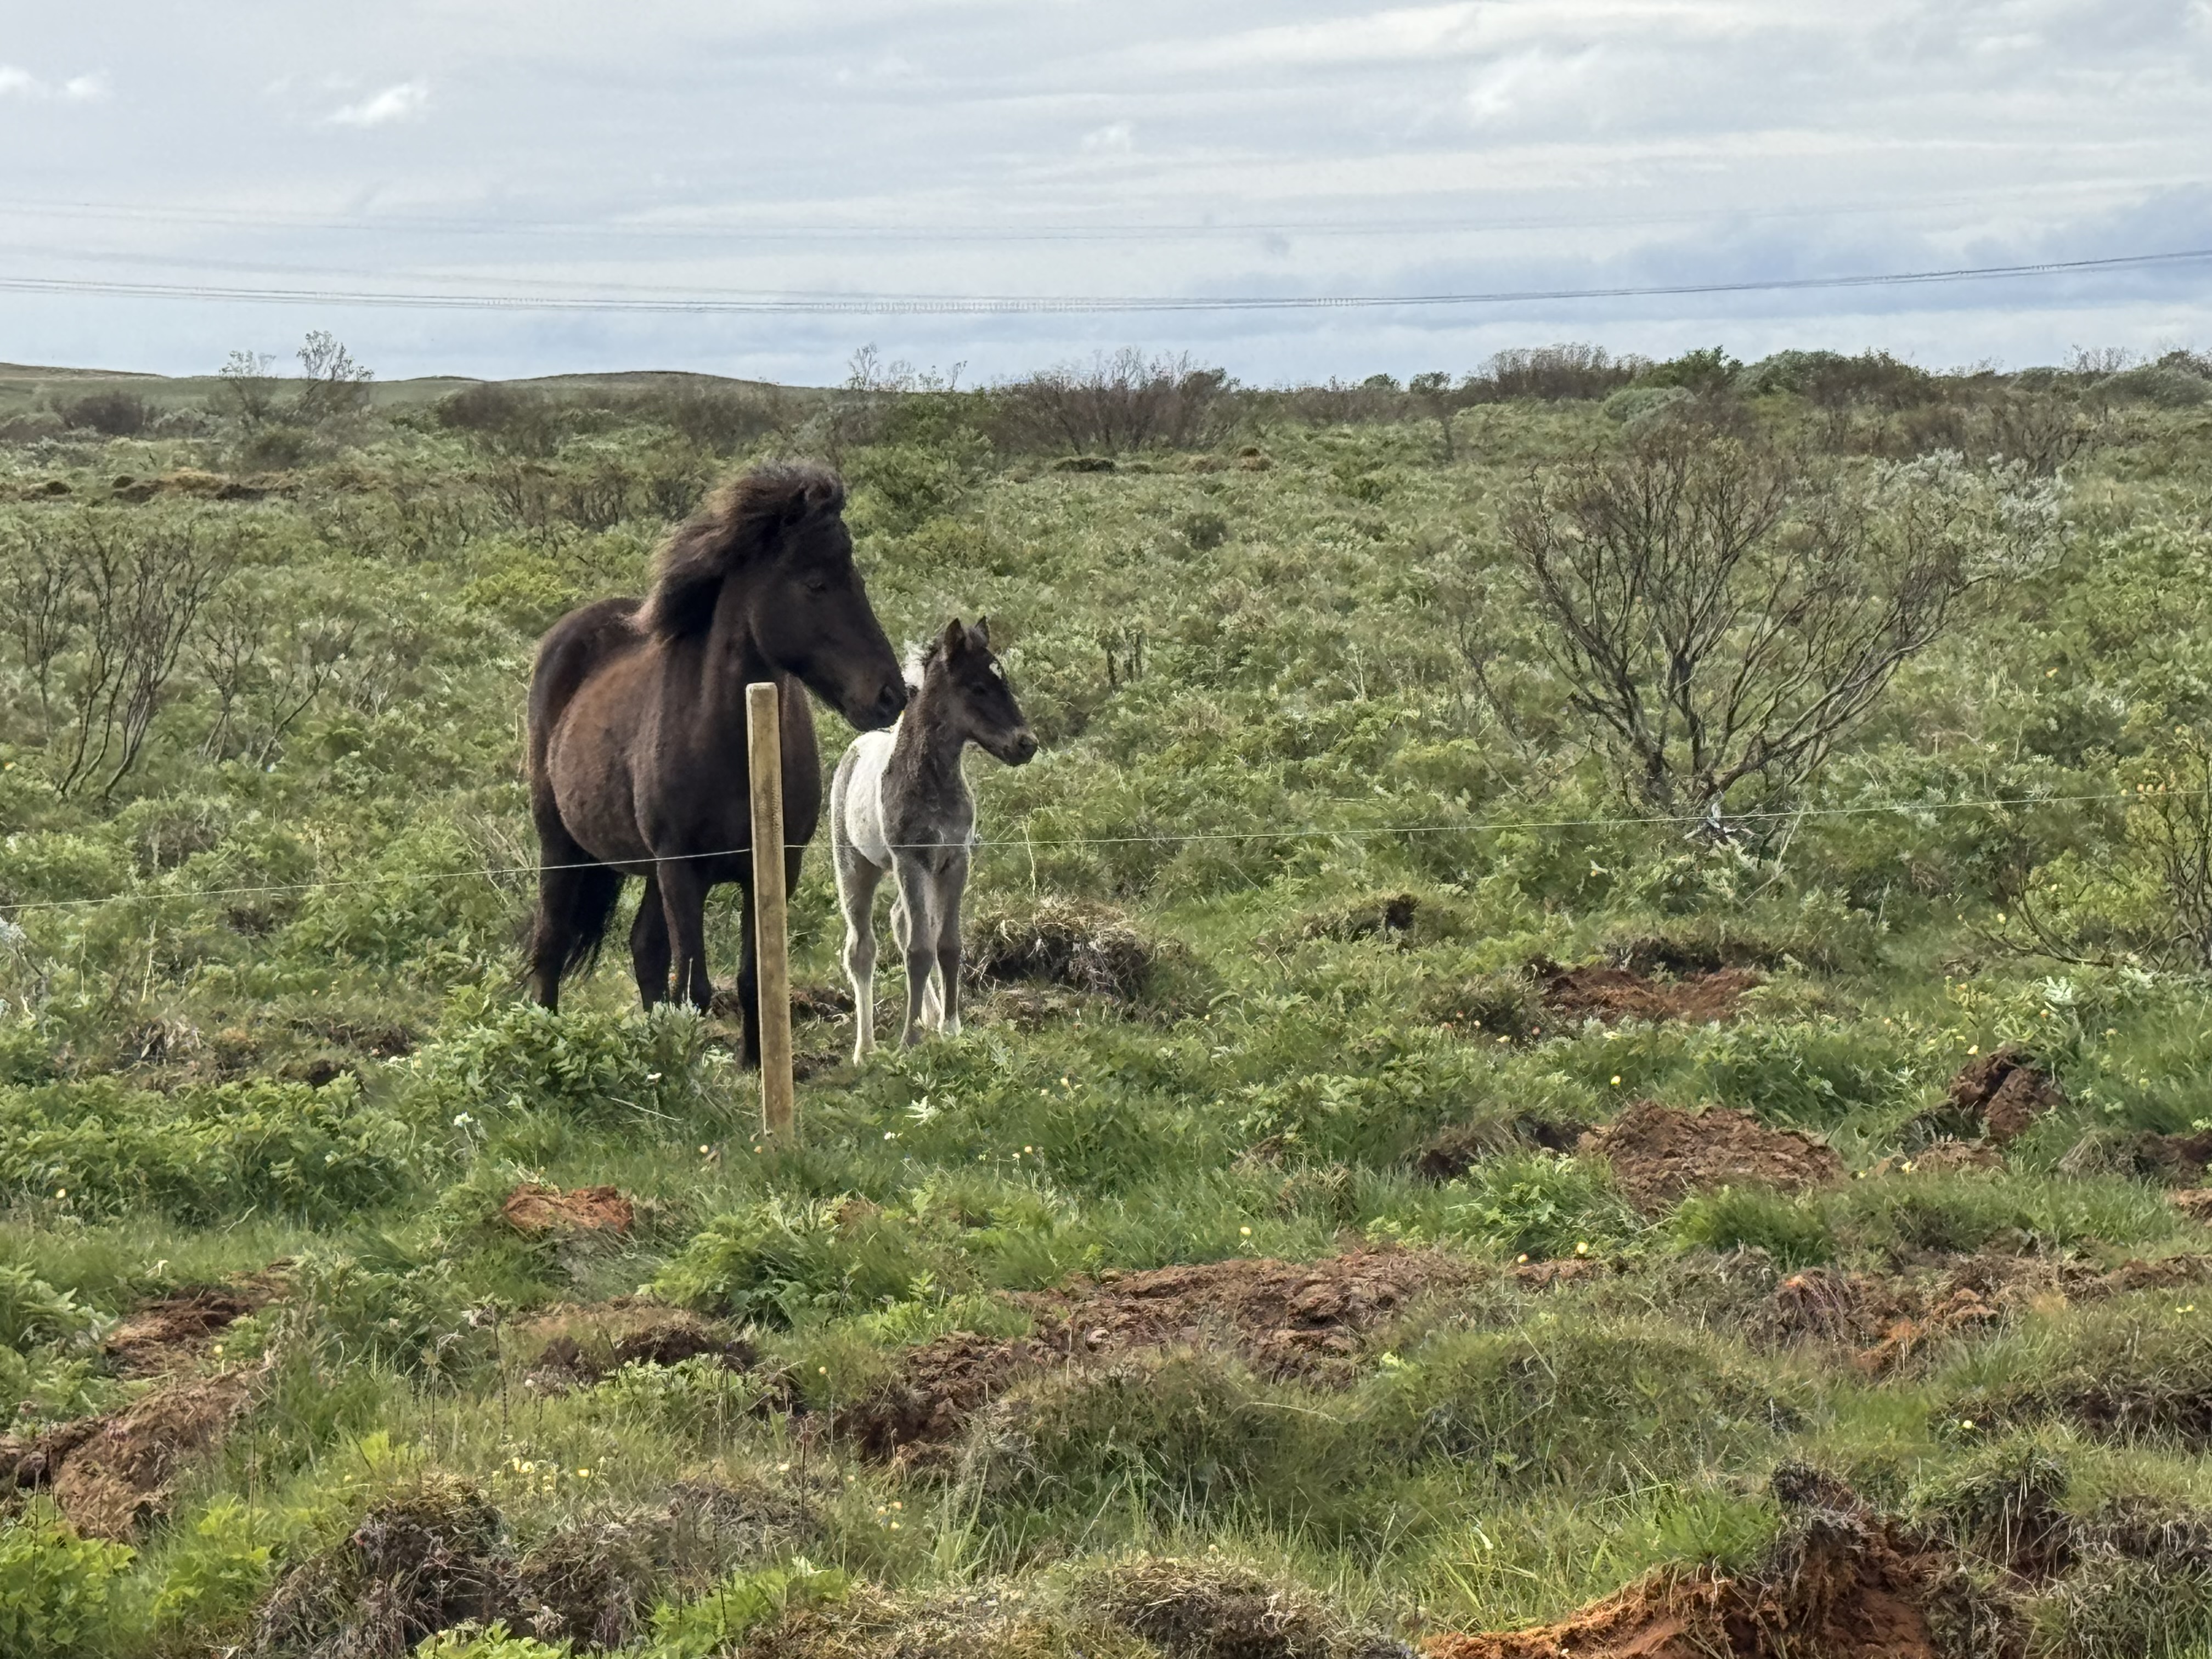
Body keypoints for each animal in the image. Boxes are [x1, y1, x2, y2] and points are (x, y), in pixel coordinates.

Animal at [524, 460, 906, 1064]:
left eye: (858, 579)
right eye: (816, 583)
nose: (892, 694)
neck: (733, 746)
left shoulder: (773, 867)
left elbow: (753, 977)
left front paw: (754, 1063)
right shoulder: (682, 869)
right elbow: (695, 988)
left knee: (643, 948)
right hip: (562, 846)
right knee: (553, 944)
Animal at [830, 617, 1037, 1060]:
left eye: (1004, 680)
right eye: (977, 688)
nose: (1026, 744)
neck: (931, 780)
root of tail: (856, 748)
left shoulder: (954, 861)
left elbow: (948, 945)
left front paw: (951, 1027)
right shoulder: (913, 861)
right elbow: (920, 950)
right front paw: (909, 1040)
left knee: (899, 921)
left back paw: (930, 1015)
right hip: (856, 866)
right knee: (862, 949)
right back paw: (865, 1049)